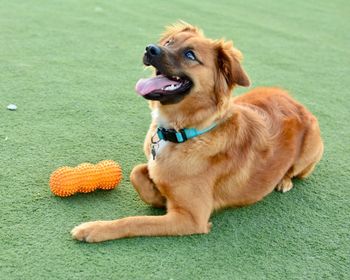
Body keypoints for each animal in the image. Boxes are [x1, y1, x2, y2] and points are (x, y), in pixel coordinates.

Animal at [70, 20, 322, 242]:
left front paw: (95, 228)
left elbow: (135, 221)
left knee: (295, 171)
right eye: (169, 42)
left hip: (310, 152)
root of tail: (296, 103)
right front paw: (157, 194)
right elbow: (136, 172)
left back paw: (284, 181)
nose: (150, 48)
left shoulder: (190, 219)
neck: (183, 132)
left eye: (190, 55)